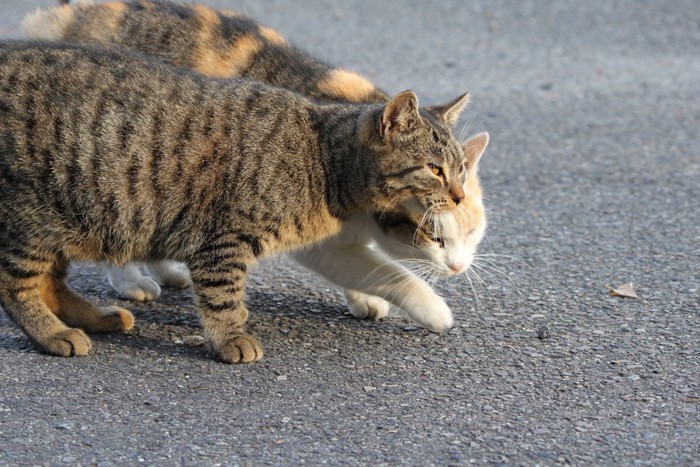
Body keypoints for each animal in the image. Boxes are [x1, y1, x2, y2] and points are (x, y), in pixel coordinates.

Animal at [24, 0, 490, 330]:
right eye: (432, 235)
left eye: (471, 233)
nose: (458, 267)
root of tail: (70, 14)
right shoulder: (316, 239)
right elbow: (384, 272)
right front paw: (433, 310)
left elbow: (365, 267)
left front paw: (364, 299)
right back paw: (130, 279)